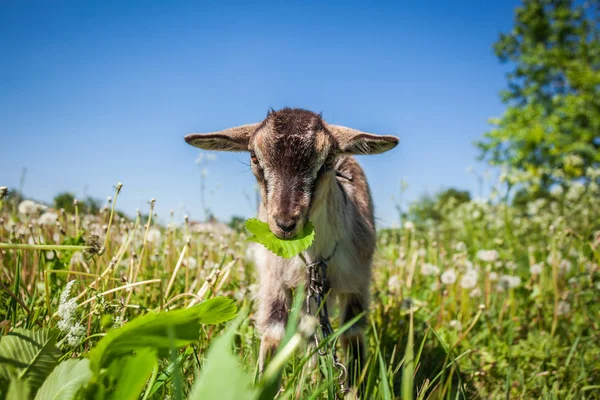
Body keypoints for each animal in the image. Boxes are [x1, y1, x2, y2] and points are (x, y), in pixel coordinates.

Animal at [183, 108, 398, 390]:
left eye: (327, 160)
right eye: (254, 156)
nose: (285, 223)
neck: (316, 258)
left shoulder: (357, 282)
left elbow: (352, 336)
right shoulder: (275, 280)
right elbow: (274, 334)